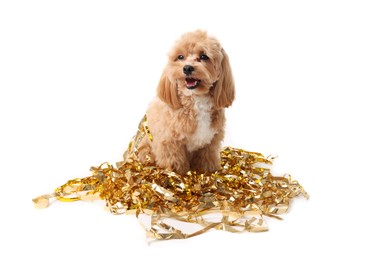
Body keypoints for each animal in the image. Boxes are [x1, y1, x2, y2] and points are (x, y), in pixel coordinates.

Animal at [137, 29, 235, 174]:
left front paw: (209, 172)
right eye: (180, 57)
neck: (196, 100)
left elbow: (207, 161)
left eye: (204, 56)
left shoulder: (210, 143)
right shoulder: (170, 143)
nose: (187, 68)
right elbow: (175, 165)